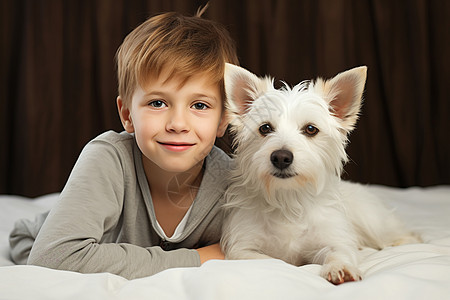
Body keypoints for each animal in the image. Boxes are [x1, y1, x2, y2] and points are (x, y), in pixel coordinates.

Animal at [220, 64, 420, 284]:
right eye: (265, 128)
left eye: (310, 129)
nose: (281, 157)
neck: (288, 199)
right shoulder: (242, 248)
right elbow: (270, 260)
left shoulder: (333, 239)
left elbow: (338, 252)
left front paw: (341, 268)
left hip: (374, 221)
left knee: (402, 233)